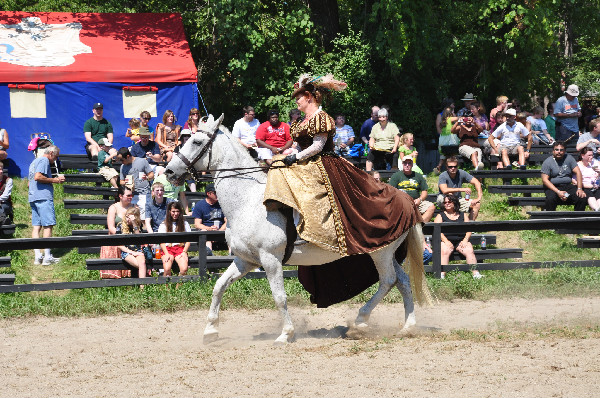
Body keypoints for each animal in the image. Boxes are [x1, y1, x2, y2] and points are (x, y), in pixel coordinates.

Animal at [164, 113, 432, 344]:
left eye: (197, 141)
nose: (169, 170)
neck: (247, 202)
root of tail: (407, 200)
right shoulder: (245, 260)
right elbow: (219, 287)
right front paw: (210, 331)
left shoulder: (270, 259)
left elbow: (279, 297)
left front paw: (286, 334)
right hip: (385, 251)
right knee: (403, 281)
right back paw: (407, 327)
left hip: (380, 253)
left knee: (388, 281)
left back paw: (360, 321)